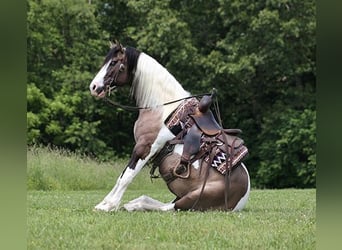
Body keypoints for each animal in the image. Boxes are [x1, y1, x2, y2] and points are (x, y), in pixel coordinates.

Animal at [89, 40, 250, 211]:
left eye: (113, 62)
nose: (94, 87)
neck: (160, 108)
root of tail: (242, 198)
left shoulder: (146, 147)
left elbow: (126, 176)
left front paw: (108, 206)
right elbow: (121, 176)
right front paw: (104, 203)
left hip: (191, 199)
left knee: (167, 208)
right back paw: (134, 204)